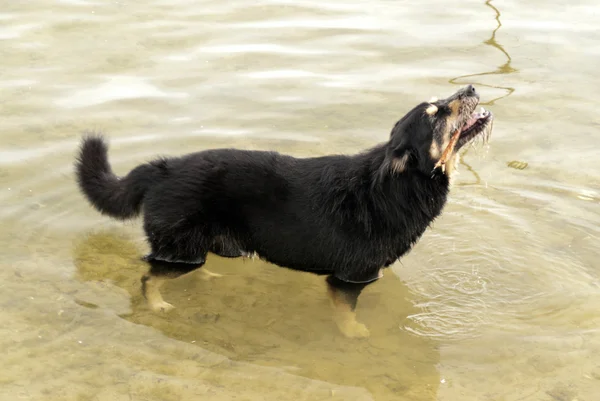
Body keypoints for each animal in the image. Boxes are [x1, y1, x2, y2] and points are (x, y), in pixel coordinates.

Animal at [74, 84, 492, 338]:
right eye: (437, 113)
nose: (472, 87)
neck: (400, 186)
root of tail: (159, 169)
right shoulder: (347, 278)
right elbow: (346, 313)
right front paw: (353, 333)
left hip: (194, 246)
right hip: (179, 249)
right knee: (148, 276)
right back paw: (158, 303)